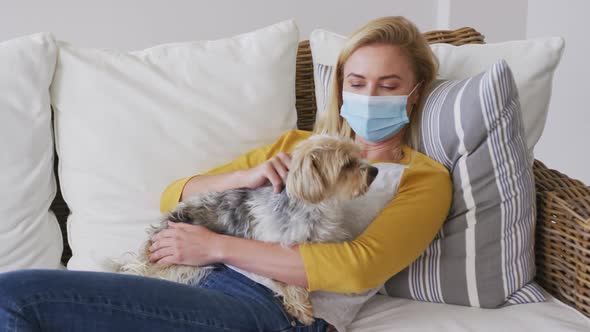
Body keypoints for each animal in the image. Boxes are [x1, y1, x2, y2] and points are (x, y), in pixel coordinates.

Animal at [118, 134, 382, 324]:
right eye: (347, 164)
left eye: (359, 155)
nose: (375, 170)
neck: (314, 207)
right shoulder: (280, 246)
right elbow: (291, 282)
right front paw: (301, 307)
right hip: (182, 266)